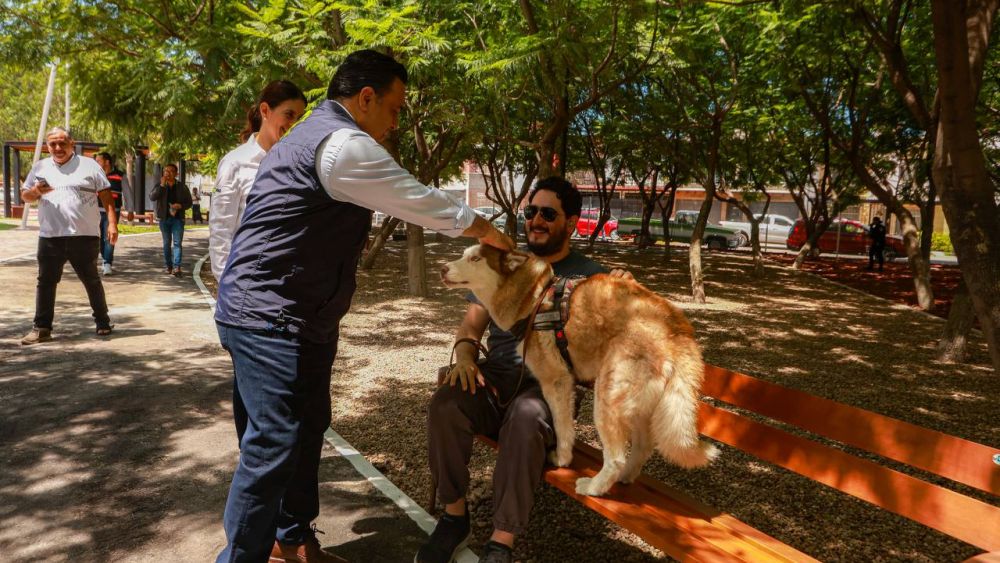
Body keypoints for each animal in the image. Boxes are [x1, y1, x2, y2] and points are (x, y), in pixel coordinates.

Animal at [442, 245, 716, 496]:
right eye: (464, 253)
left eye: (476, 259)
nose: (443, 268)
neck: (534, 297)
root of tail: (677, 332)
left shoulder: (557, 381)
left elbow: (562, 427)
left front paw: (562, 459)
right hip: (639, 406)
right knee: (642, 447)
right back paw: (625, 477)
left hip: (607, 399)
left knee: (615, 458)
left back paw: (593, 487)